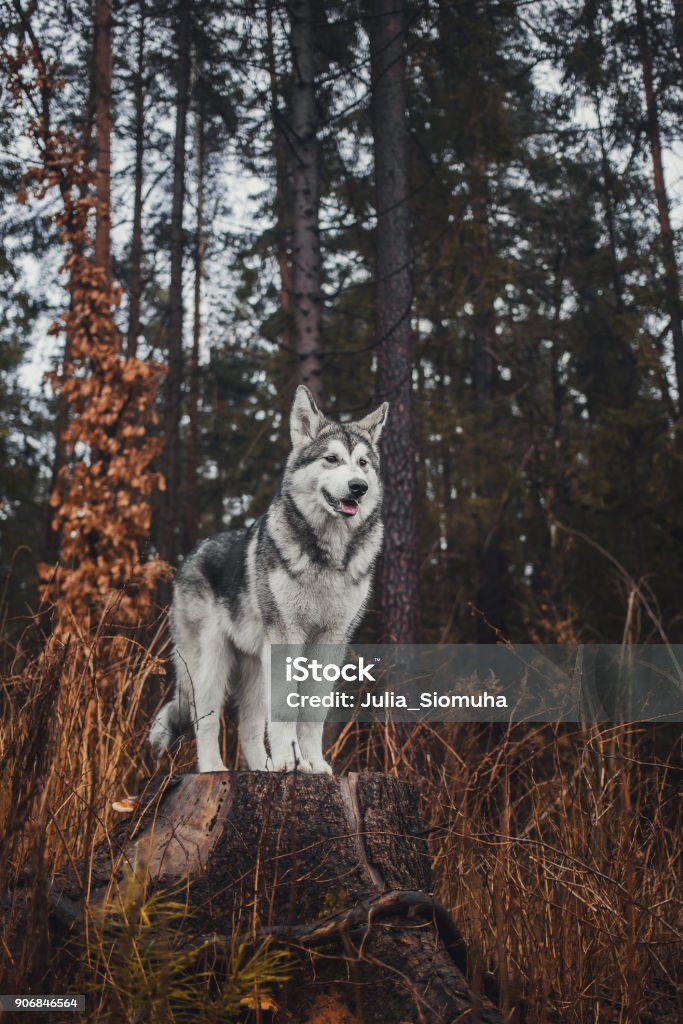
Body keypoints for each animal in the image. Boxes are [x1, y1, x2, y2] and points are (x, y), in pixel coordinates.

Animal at [150, 385, 389, 770]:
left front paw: (312, 765)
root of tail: (192, 553)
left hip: (255, 667)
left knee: (248, 726)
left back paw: (265, 766)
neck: (327, 556)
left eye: (363, 464)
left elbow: (312, 713)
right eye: (332, 459)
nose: (358, 487)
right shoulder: (286, 636)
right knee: (207, 722)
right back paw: (215, 769)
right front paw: (291, 762)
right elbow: (284, 709)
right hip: (212, 667)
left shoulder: (331, 641)